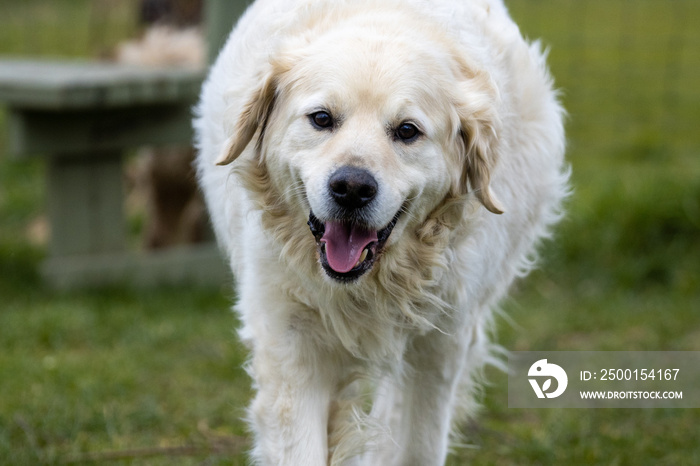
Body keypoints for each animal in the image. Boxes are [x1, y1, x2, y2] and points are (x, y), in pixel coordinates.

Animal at [194, 1, 568, 464]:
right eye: (322, 119)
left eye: (407, 130)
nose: (352, 187)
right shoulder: (291, 345)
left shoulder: (439, 346)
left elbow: (417, 444)